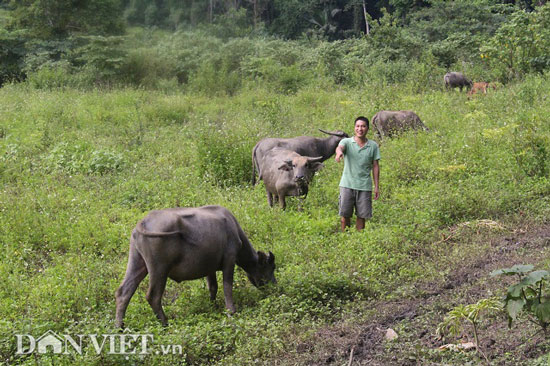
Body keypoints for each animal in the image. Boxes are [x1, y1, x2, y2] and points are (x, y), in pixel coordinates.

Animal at [117, 204, 280, 328]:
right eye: (271, 267)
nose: (274, 286)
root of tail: (143, 223)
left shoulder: (210, 267)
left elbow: (213, 287)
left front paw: (213, 306)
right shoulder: (229, 259)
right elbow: (227, 286)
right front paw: (231, 311)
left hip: (137, 262)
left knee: (123, 292)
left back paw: (120, 327)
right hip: (159, 269)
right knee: (153, 296)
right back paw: (165, 323)